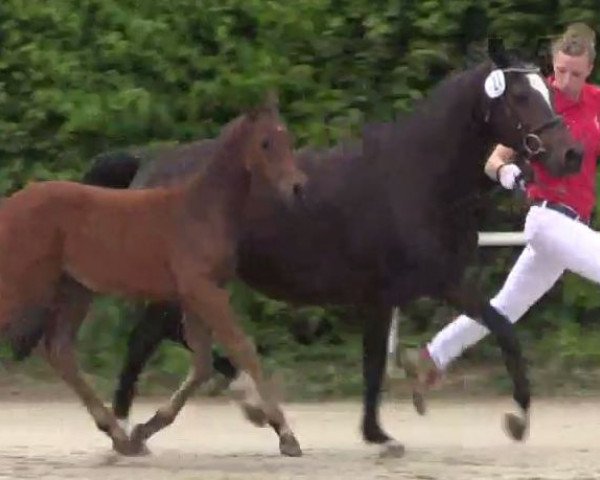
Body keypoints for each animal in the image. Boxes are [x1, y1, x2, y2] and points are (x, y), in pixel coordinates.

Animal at [0, 99, 308, 456]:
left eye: (288, 139)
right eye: (265, 143)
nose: (297, 187)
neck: (200, 210)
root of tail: (9, 206)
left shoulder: (195, 295)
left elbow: (202, 363)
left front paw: (144, 430)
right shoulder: (203, 291)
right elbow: (242, 348)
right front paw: (286, 434)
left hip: (75, 290)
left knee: (61, 351)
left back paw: (119, 436)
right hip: (23, 285)